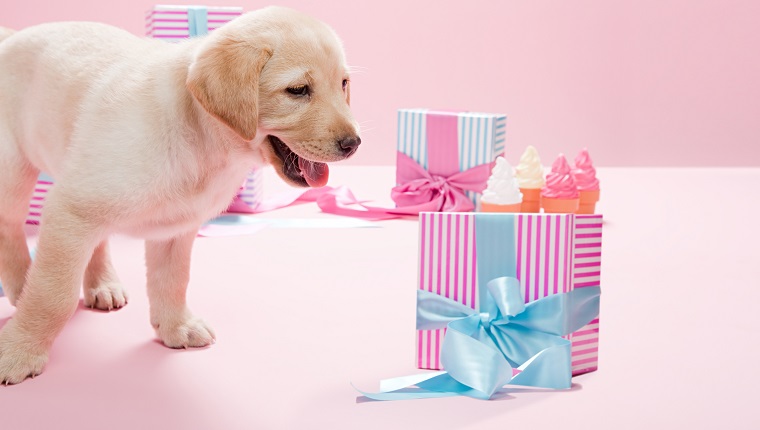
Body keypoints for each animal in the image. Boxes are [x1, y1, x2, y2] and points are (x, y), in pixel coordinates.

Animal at [0, 5, 360, 382]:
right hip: (16, 169)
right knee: (9, 228)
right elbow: (52, 295)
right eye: (298, 90)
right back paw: (21, 285)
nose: (354, 143)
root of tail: (13, 37)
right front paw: (19, 351)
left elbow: (172, 280)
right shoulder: (71, 207)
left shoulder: (174, 227)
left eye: (344, 84)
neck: (201, 134)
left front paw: (176, 327)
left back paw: (102, 284)